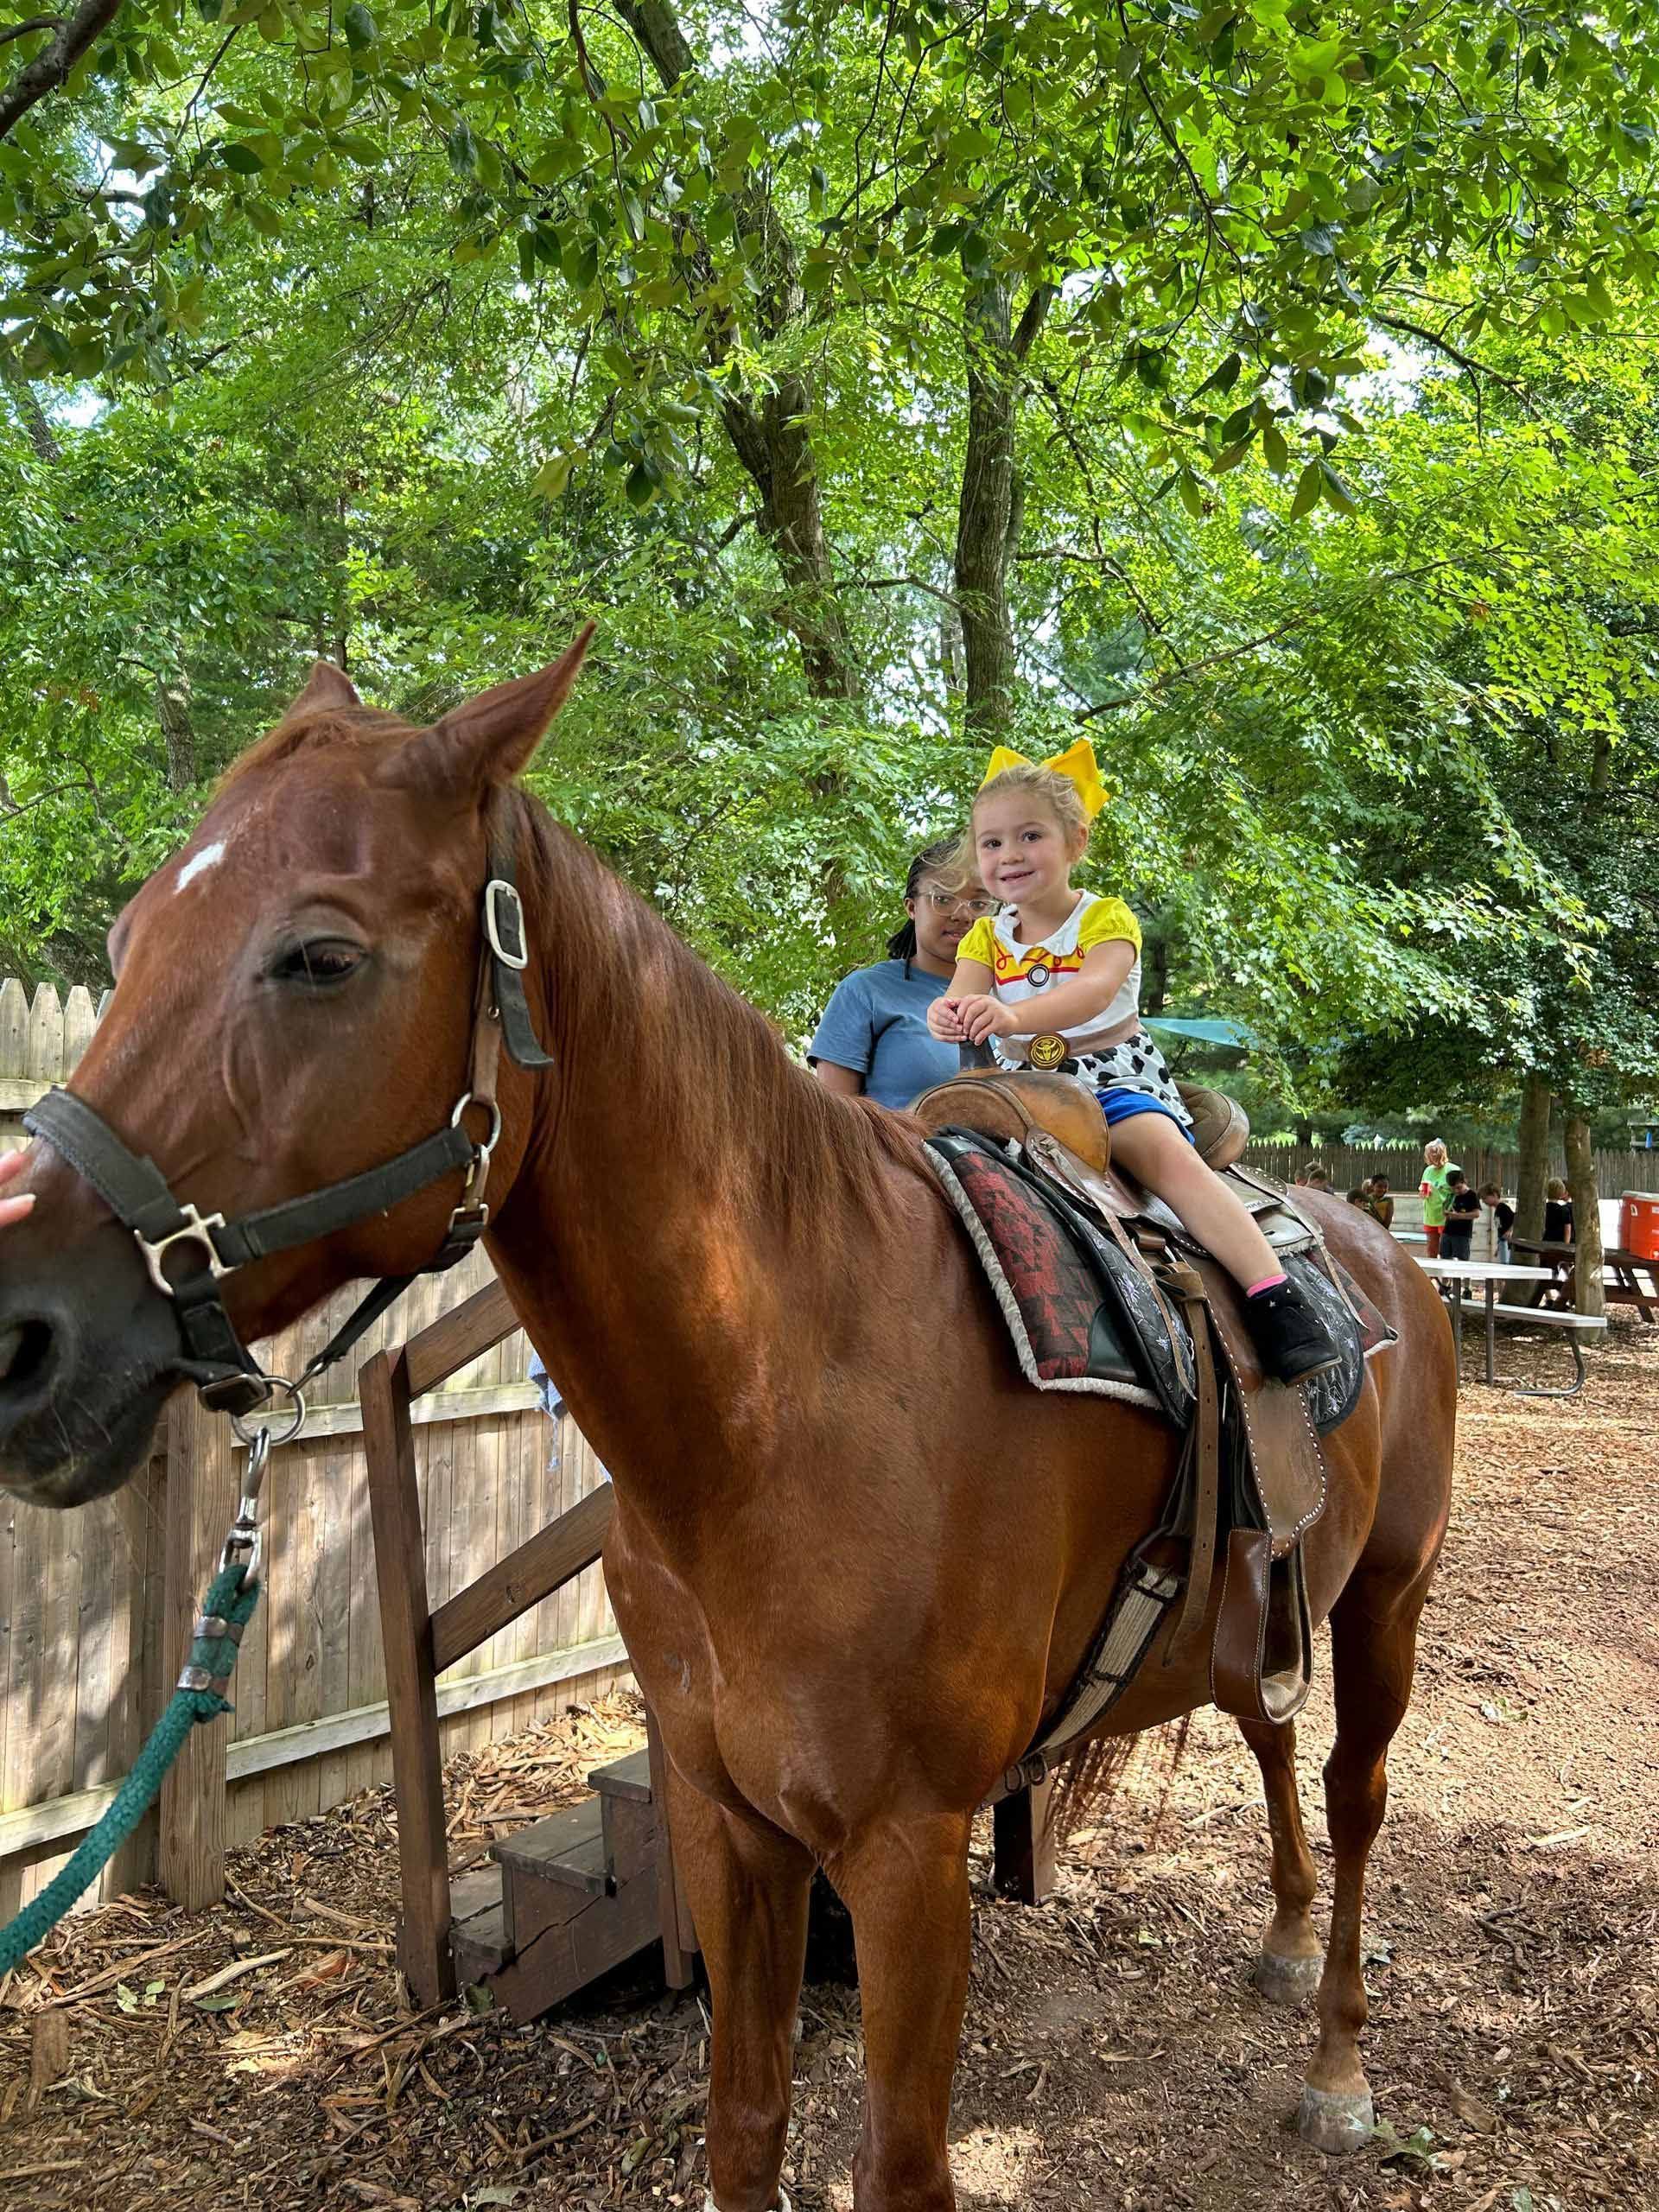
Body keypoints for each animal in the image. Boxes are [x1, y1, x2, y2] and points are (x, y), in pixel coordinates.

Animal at [0, 645, 1451, 2212]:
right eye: (133, 933)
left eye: (321, 956)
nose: (21, 1331)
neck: (778, 1421)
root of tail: (1386, 1254)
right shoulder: (725, 1821)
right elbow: (742, 2124)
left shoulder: (906, 1854)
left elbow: (899, 2168)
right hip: (1268, 1607)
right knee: (1269, 1734)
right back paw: (1284, 1944)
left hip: (1386, 1600)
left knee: (1356, 1796)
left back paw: (1339, 2067)